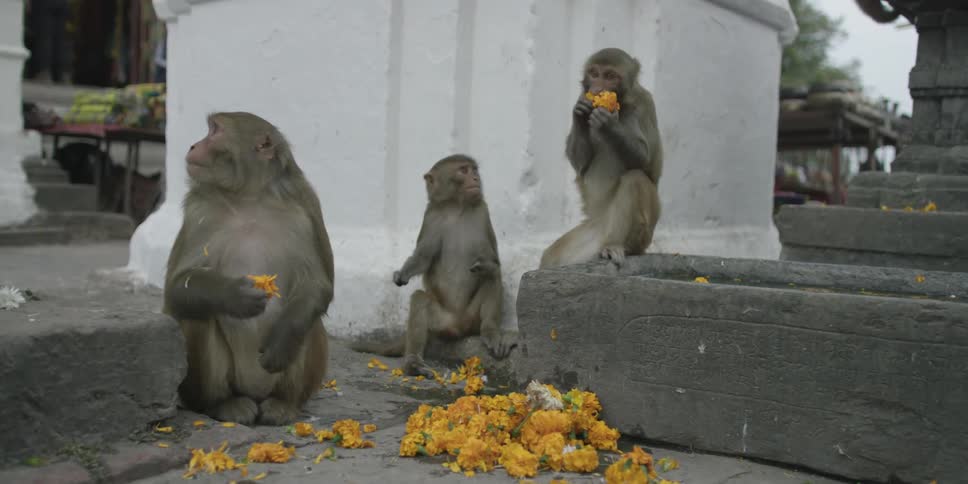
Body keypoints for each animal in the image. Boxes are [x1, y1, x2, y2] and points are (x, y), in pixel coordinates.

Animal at [163, 112, 333, 425]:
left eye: (214, 131)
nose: (193, 145)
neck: (249, 198)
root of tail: (255, 392)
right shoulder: (199, 211)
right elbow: (177, 288)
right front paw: (234, 295)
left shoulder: (304, 208)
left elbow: (317, 285)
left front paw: (283, 340)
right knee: (198, 316)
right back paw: (223, 403)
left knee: (309, 320)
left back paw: (283, 403)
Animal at [351, 154, 516, 377]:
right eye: (463, 170)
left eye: (474, 170)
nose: (475, 178)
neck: (456, 208)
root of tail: (458, 325)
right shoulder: (430, 218)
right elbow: (423, 258)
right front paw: (404, 272)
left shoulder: (483, 213)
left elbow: (494, 263)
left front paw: (485, 266)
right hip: (441, 322)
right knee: (419, 299)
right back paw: (413, 362)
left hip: (472, 318)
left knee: (492, 279)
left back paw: (490, 331)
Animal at [539, 47, 662, 269]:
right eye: (594, 73)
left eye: (610, 76)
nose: (597, 87)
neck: (622, 104)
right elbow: (580, 165)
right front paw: (579, 115)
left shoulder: (645, 104)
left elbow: (648, 164)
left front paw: (609, 124)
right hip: (589, 233)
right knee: (550, 259)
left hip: (644, 234)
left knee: (635, 179)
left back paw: (617, 245)